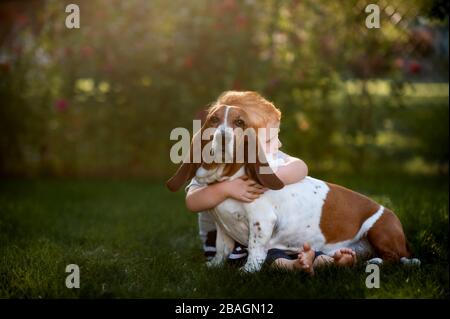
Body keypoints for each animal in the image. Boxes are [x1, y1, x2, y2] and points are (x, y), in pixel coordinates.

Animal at [167, 92, 420, 272]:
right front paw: (214, 265)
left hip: (380, 229)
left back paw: (373, 262)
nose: (222, 137)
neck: (229, 178)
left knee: (395, 258)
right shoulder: (223, 229)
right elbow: (221, 249)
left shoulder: (262, 222)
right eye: (213, 120)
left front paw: (247, 271)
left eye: (239, 122)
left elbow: (255, 249)